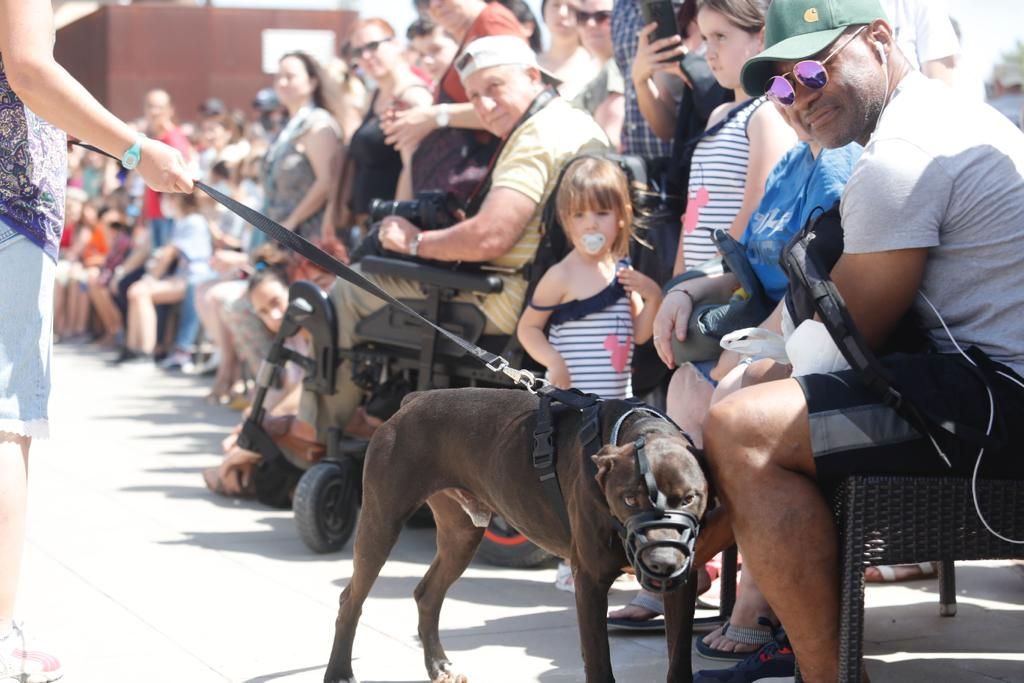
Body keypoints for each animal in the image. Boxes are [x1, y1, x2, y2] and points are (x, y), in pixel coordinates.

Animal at [323, 389, 708, 683]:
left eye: (689, 498)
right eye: (629, 499)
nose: (661, 562)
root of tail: (413, 400)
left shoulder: (683, 584)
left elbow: (679, 655)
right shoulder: (590, 581)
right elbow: (599, 662)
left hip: (461, 535)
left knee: (427, 594)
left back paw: (439, 666)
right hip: (381, 523)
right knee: (350, 600)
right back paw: (340, 672)